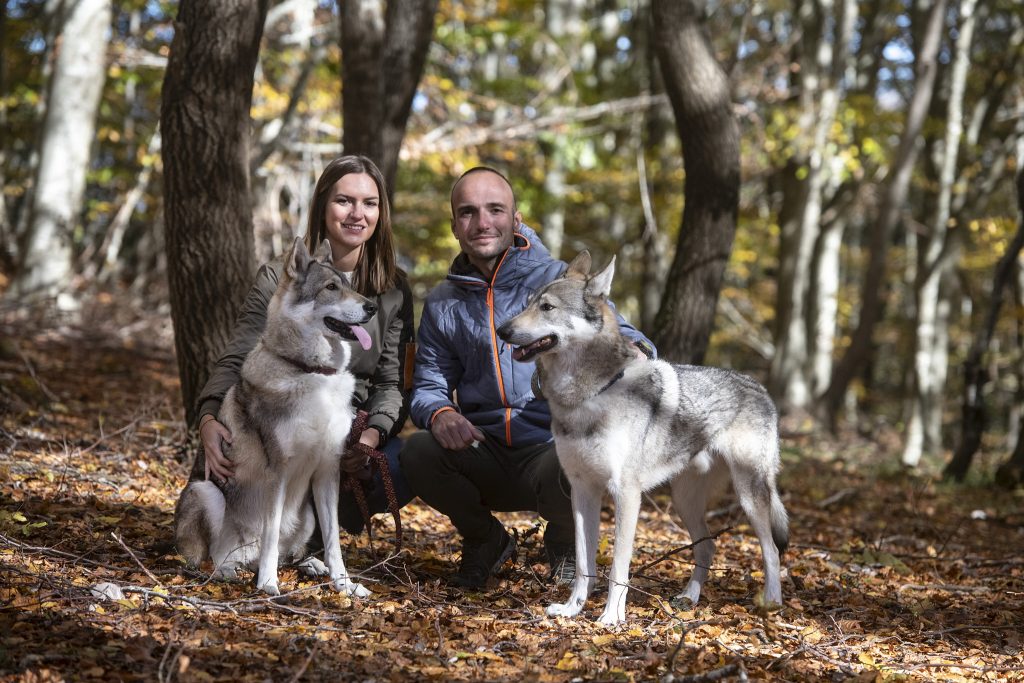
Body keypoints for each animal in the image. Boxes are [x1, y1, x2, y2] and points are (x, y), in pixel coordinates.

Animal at [175, 236, 377, 598]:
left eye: (350, 285)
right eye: (331, 287)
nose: (372, 307)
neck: (313, 372)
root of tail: (245, 554)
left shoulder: (328, 471)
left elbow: (334, 543)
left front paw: (345, 584)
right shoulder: (278, 472)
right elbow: (270, 536)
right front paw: (268, 585)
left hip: (307, 513)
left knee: (285, 555)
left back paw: (310, 566)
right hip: (207, 493)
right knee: (215, 557)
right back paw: (232, 571)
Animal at [497, 251, 788, 625]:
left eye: (547, 307)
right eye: (528, 304)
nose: (503, 330)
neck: (586, 397)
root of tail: (760, 388)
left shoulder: (626, 494)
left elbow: (618, 567)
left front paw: (611, 617)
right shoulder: (581, 491)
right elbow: (583, 564)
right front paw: (573, 609)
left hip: (750, 495)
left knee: (771, 550)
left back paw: (772, 605)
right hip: (684, 500)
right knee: (708, 547)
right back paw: (688, 598)